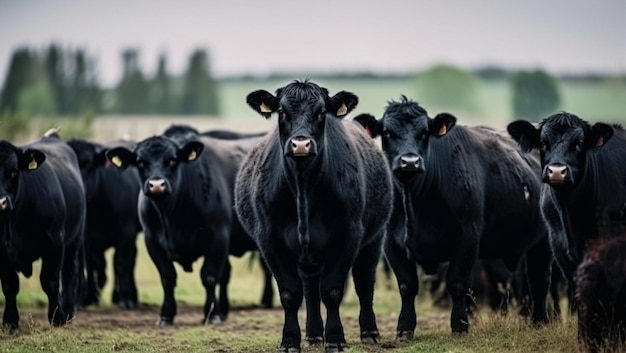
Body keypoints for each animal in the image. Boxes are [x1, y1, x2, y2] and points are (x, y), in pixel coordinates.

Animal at [0, 129, 85, 328]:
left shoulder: (55, 242)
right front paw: (10, 320)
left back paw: (68, 311)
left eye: (13, 171)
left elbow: (50, 280)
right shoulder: (2, 250)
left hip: (74, 240)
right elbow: (9, 284)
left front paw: (58, 317)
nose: (1, 202)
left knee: (69, 272)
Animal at [67, 138, 142, 308]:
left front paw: (125, 299)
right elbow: (87, 265)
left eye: (89, 165)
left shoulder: (127, 232)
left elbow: (121, 264)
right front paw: (82, 299)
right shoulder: (85, 239)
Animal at [106, 129, 262, 324]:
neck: (172, 219)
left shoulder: (218, 236)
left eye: (172, 159)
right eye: (140, 161)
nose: (157, 185)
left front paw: (212, 314)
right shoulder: (152, 241)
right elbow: (167, 277)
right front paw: (166, 314)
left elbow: (209, 276)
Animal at [234, 80, 390, 352]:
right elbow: (291, 294)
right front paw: (290, 340)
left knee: (364, 281)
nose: (300, 145)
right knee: (310, 288)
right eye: (282, 112)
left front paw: (336, 339)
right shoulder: (269, 240)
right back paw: (314, 335)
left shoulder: (348, 235)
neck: (303, 185)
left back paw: (369, 332)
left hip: (374, 238)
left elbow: (333, 290)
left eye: (321, 112)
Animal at [356, 95, 552, 336]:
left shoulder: (468, 236)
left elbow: (457, 283)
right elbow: (407, 285)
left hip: (543, 242)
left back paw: (539, 321)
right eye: (387, 132)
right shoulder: (392, 242)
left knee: (539, 280)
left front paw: (459, 325)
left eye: (424, 133)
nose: (409, 161)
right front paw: (404, 328)